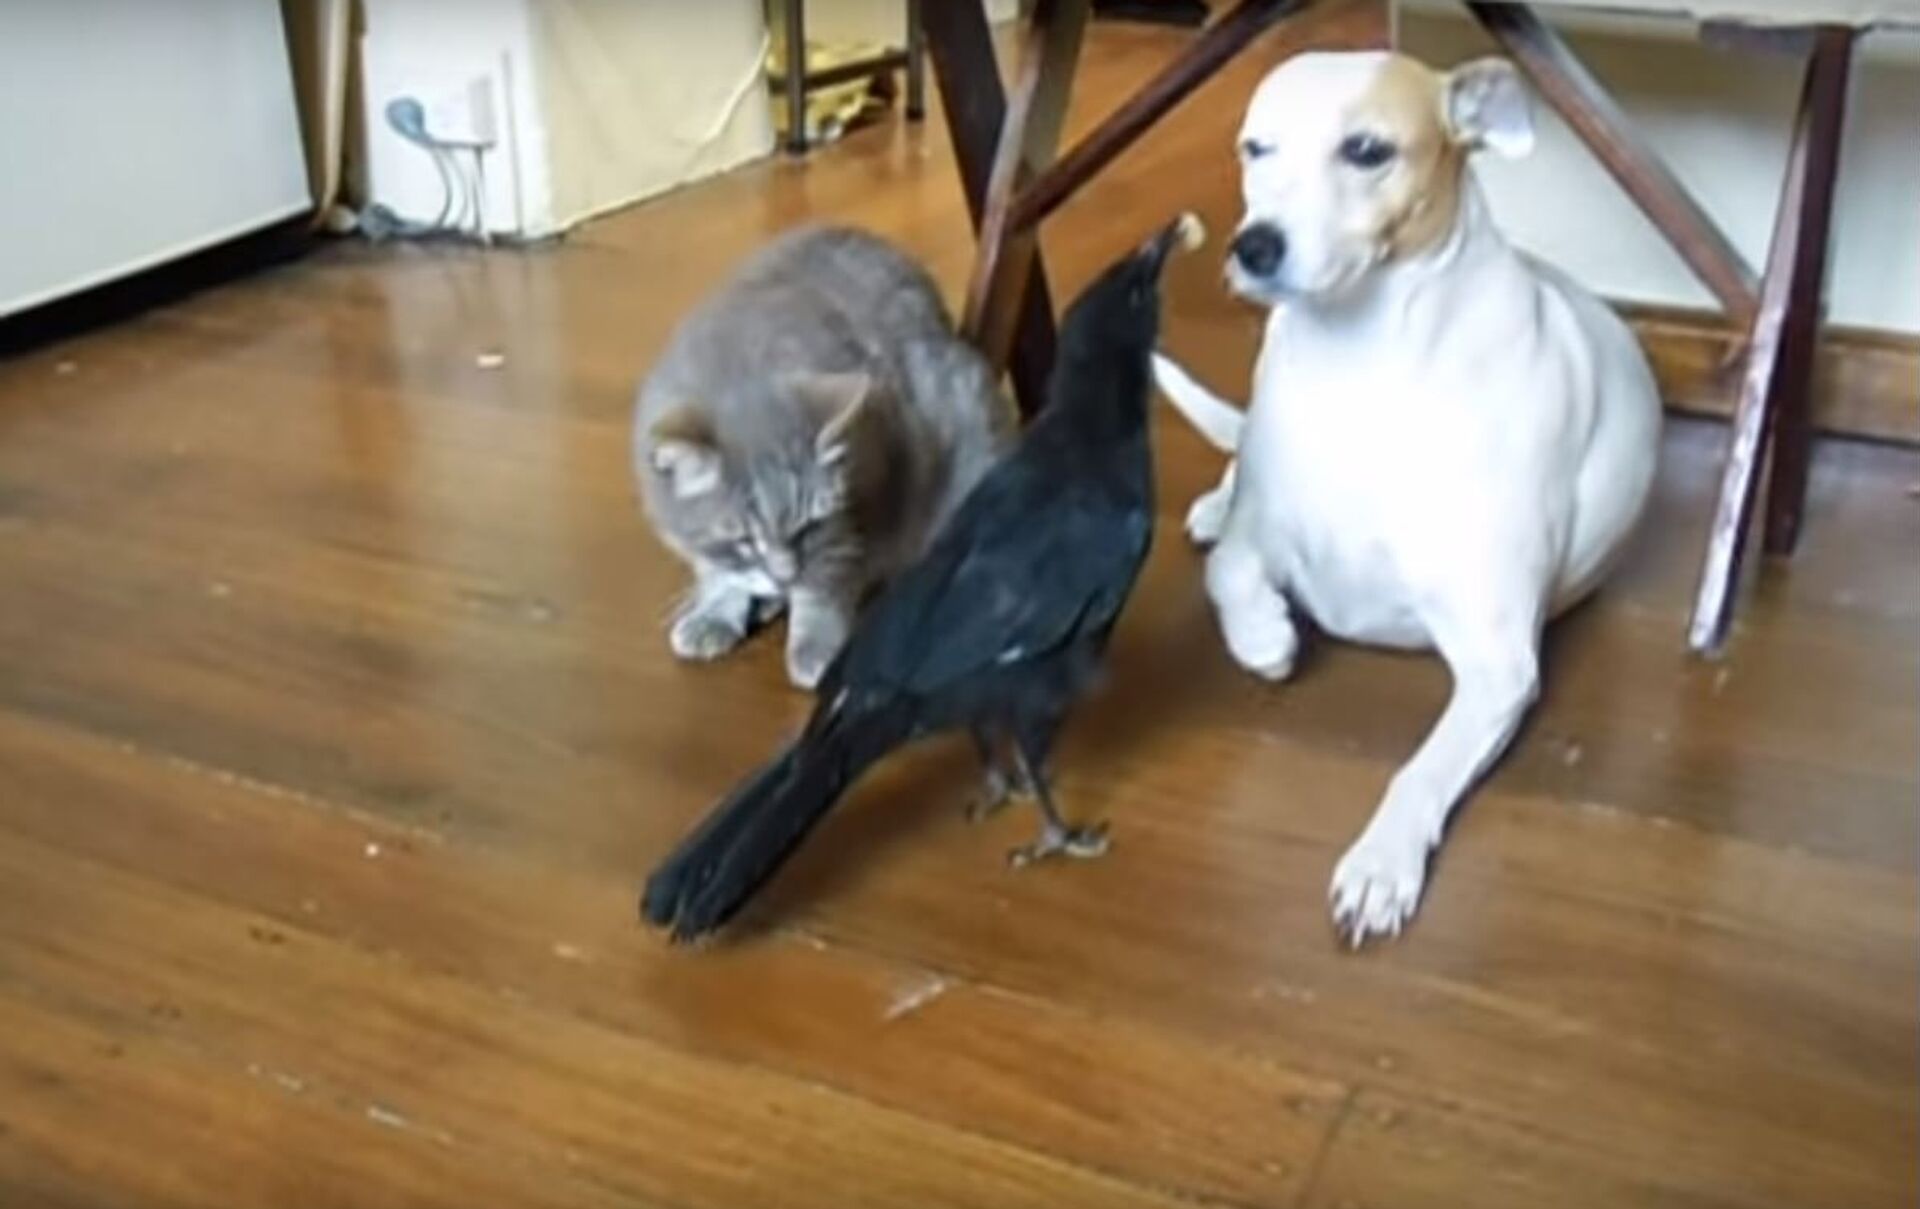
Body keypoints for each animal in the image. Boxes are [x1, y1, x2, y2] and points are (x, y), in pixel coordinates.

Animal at [634, 224, 1014, 689]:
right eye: (744, 539)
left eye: (810, 527)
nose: (785, 574)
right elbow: (717, 572)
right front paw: (717, 611)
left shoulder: (858, 522)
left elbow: (823, 588)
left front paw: (815, 645)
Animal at [1154, 51, 1662, 945]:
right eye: (1255, 147)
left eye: (1367, 151)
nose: (1254, 246)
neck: (1362, 363)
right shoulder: (1262, 538)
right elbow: (1230, 572)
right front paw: (1265, 637)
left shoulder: (1498, 663)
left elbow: (1419, 771)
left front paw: (1380, 863)